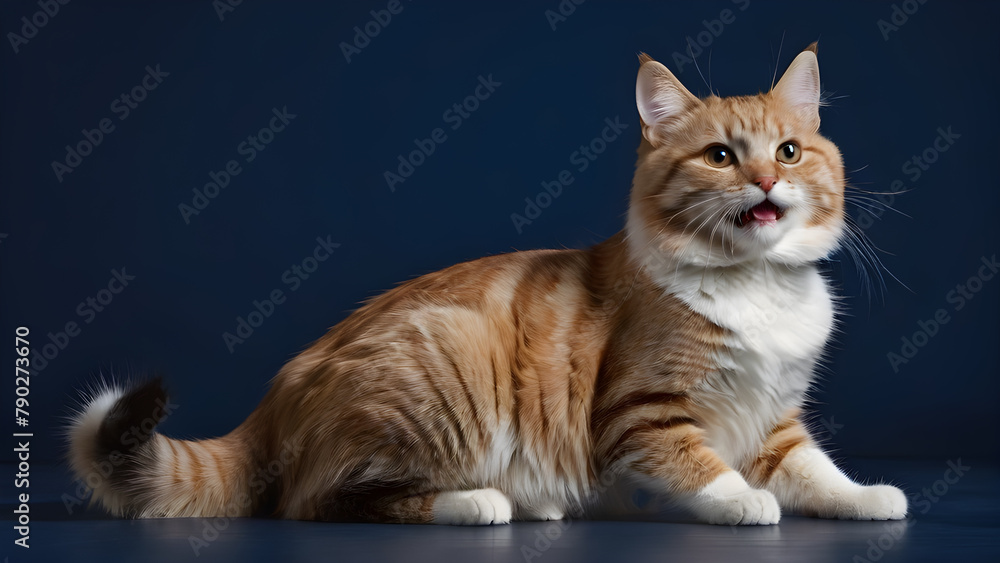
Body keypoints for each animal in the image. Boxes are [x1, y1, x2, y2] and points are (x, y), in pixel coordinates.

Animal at [70, 45, 908, 528]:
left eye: (789, 151)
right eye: (720, 156)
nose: (765, 179)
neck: (754, 283)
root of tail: (274, 398)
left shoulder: (775, 416)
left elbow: (818, 471)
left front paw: (870, 496)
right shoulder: (644, 409)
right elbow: (701, 465)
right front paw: (741, 499)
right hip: (454, 368)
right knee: (320, 500)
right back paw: (487, 501)